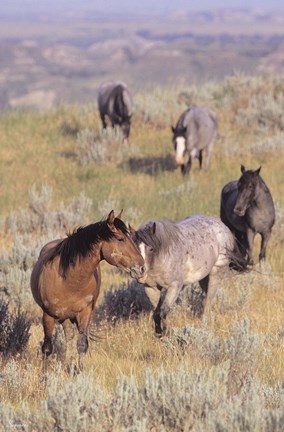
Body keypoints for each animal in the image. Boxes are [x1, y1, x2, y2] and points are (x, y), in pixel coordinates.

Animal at [30, 211, 146, 370]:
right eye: (120, 239)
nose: (142, 268)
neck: (69, 280)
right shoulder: (48, 315)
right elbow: (47, 348)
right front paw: (45, 375)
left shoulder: (84, 313)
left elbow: (82, 345)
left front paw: (80, 372)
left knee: (70, 338)